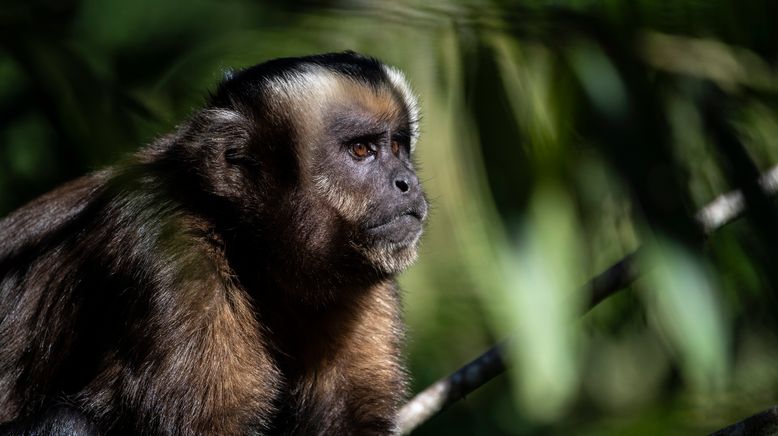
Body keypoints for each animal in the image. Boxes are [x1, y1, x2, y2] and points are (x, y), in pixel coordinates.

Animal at [0, 52, 424, 436]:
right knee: (67, 423)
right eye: (361, 150)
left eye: (398, 147)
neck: (249, 249)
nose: (407, 181)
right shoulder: (170, 251)